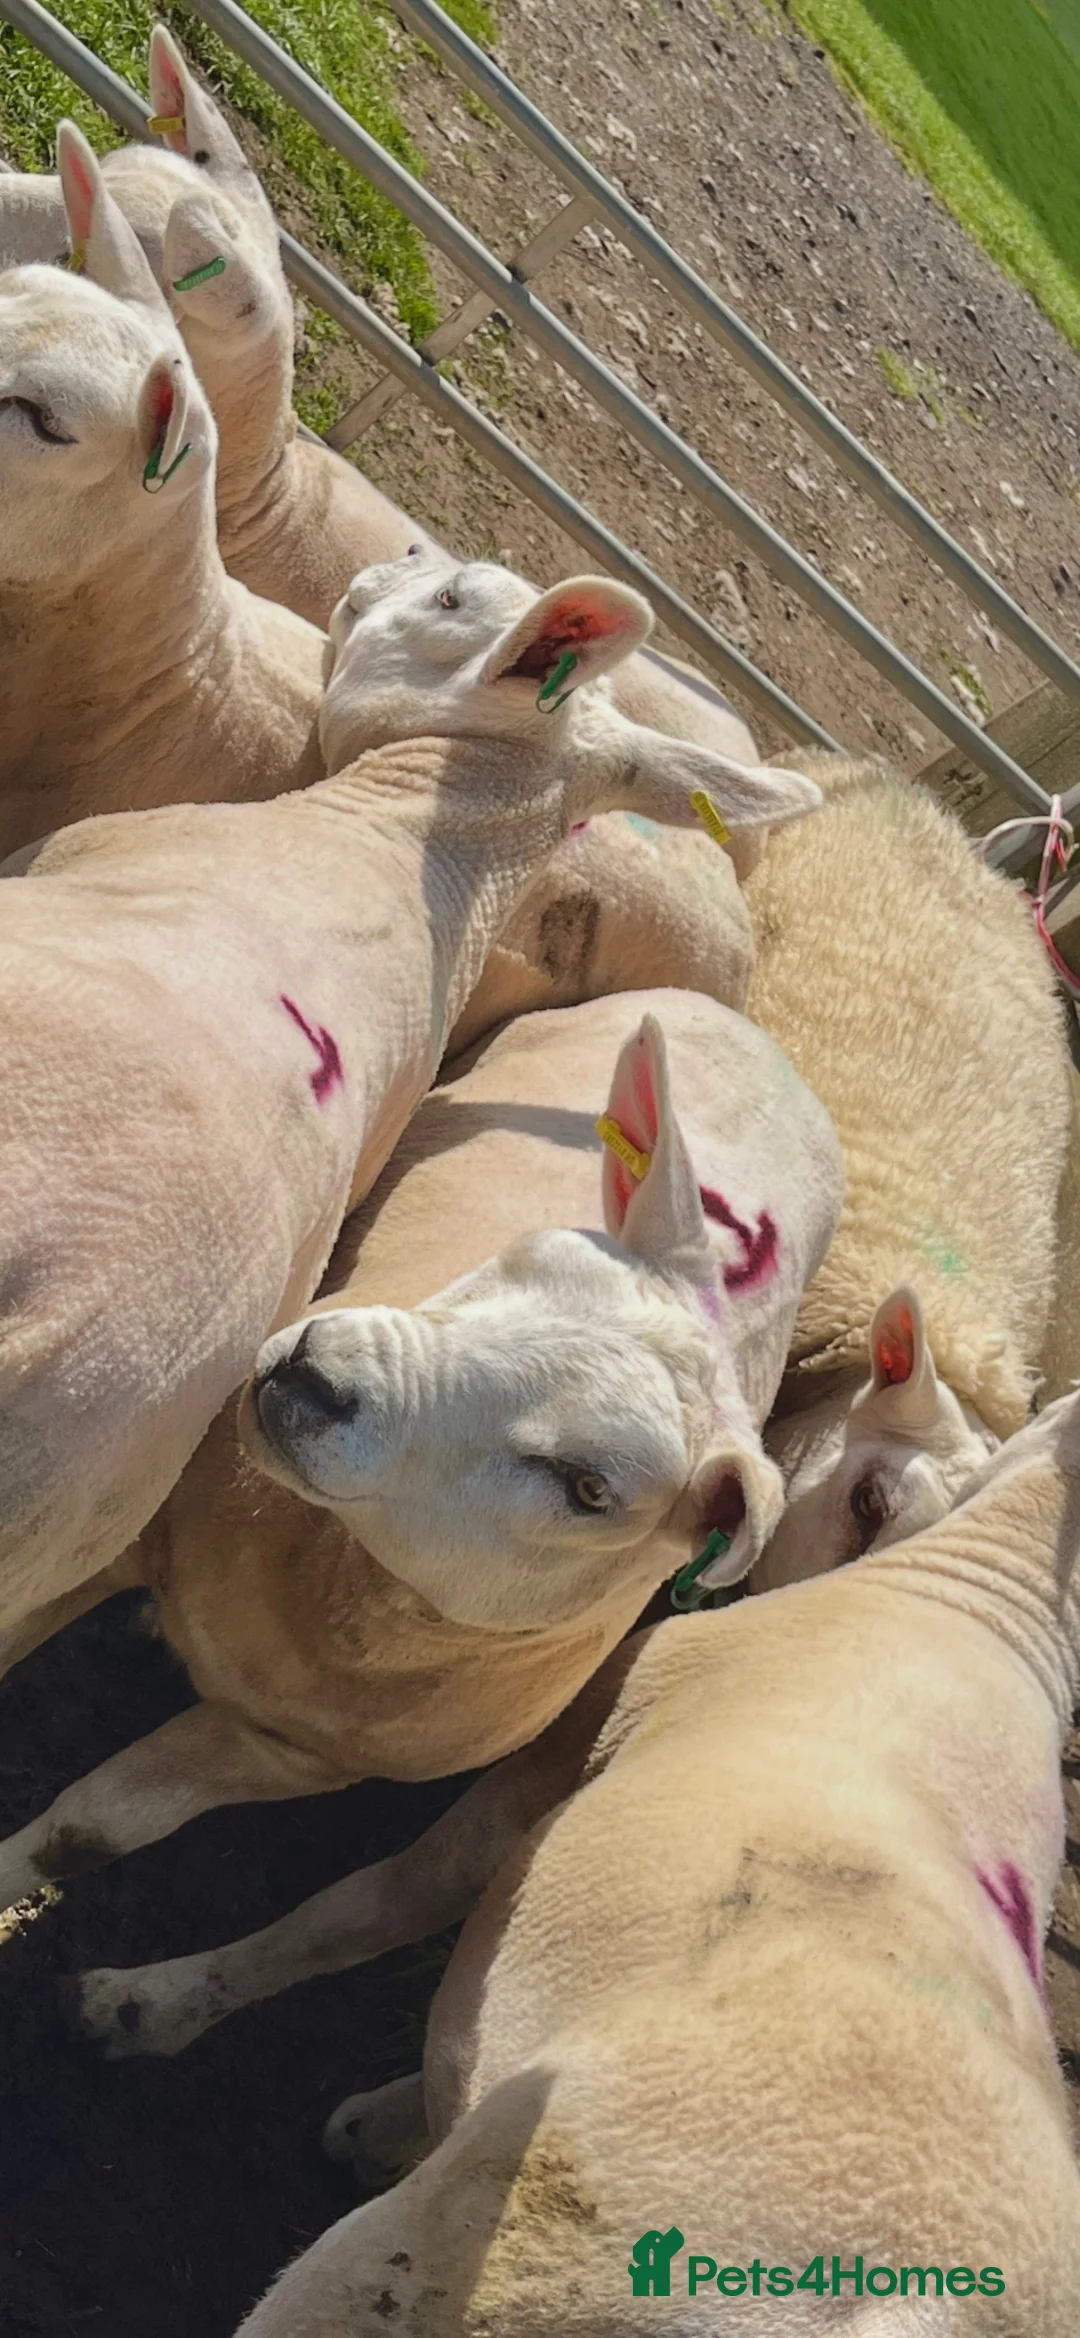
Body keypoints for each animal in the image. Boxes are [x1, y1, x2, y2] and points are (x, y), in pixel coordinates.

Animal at [12, 985, 843, 2041]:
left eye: (588, 1489)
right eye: (521, 1255)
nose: (316, 1376)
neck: (325, 1592)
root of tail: (779, 1057)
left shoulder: (292, 1751)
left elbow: (88, 1833)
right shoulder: (116, 1531)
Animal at [225, 1393, 1080, 2338]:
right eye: (870, 1501)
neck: (994, 1589)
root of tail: (925, 2307)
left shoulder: (570, 1746)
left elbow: (365, 1910)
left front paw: (159, 2002)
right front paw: (380, 2126)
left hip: (469, 2256)